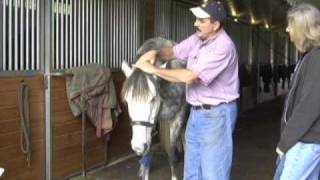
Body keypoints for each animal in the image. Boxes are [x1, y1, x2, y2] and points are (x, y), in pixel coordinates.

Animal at [121, 37, 189, 179]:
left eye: (152, 99)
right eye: (127, 101)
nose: (137, 147)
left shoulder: (178, 116)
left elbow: (171, 150)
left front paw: (174, 176)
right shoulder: (150, 124)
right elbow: (148, 153)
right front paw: (144, 171)